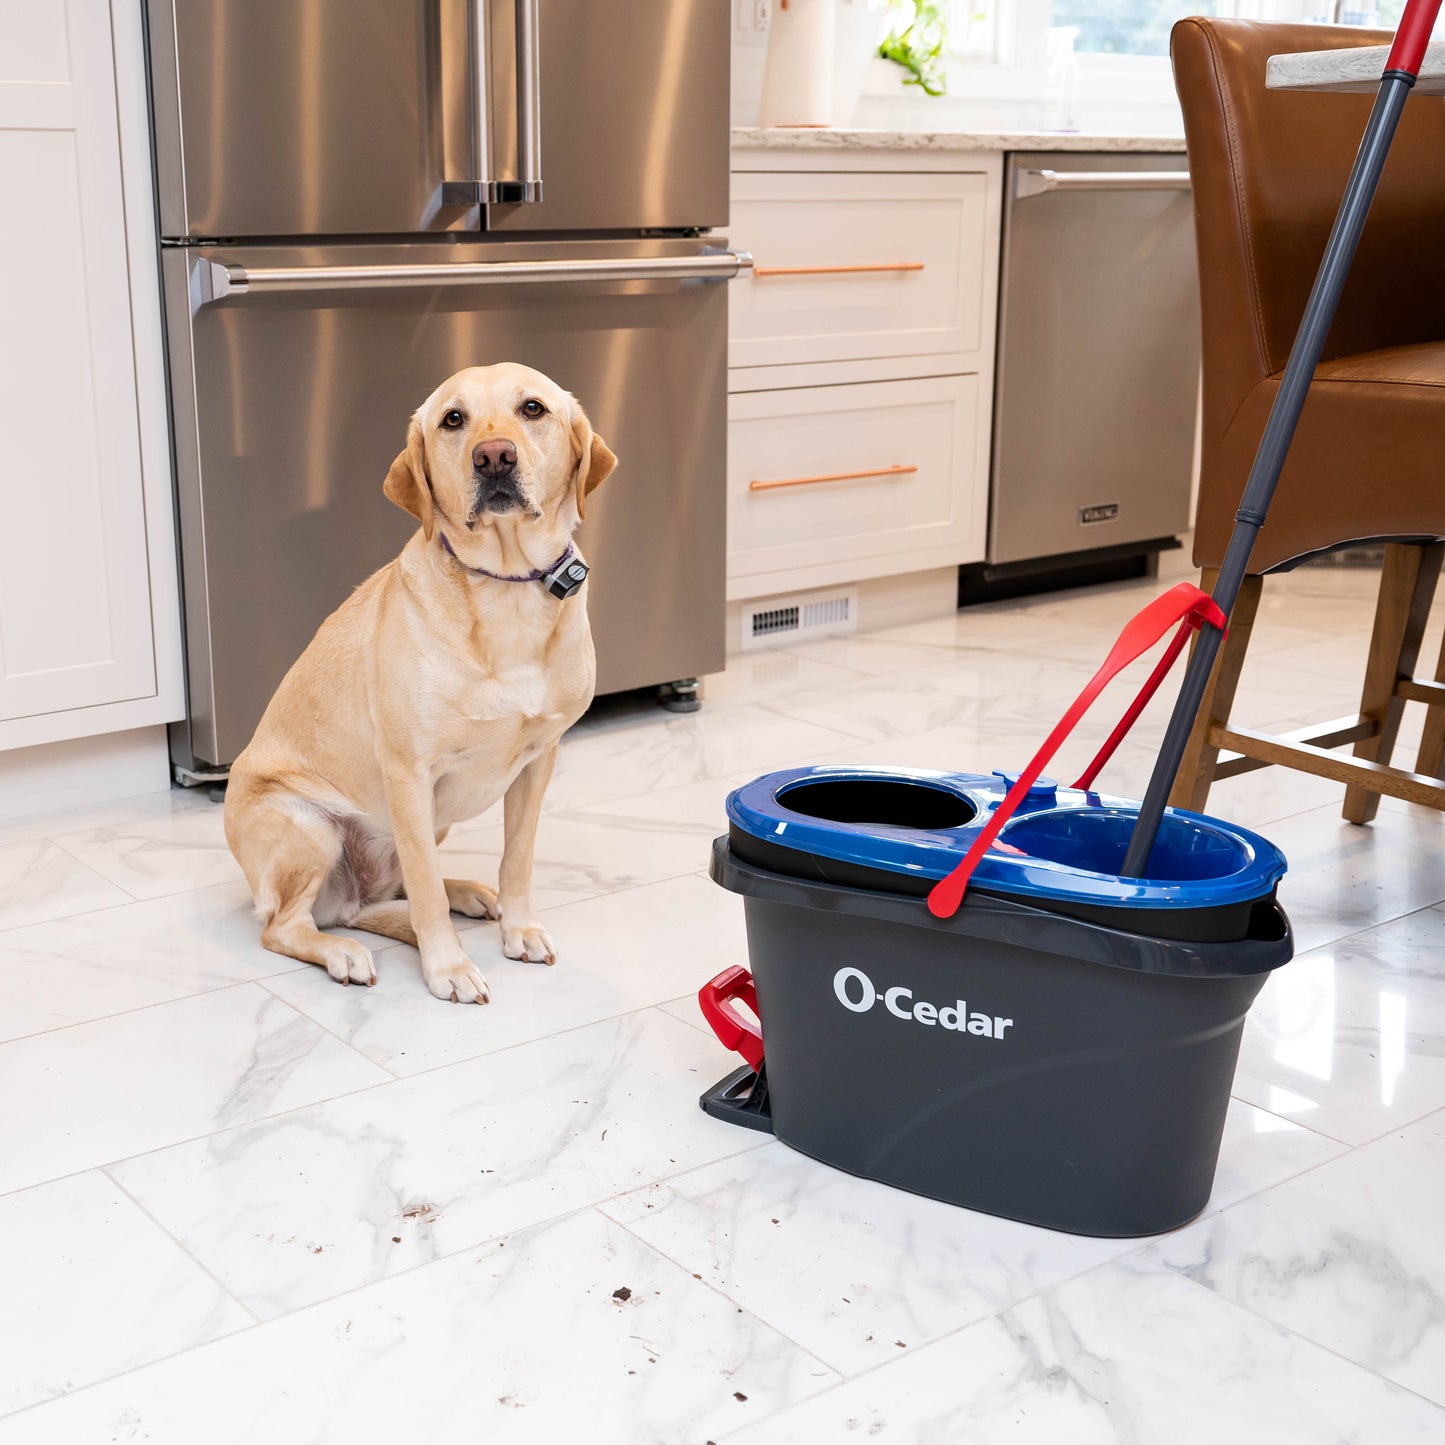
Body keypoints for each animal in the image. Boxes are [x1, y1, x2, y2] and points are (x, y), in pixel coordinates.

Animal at [223, 367, 615, 1005]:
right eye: (452, 419)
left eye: (532, 409)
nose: (494, 455)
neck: (505, 590)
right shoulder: (409, 773)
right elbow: (424, 887)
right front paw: (448, 967)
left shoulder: (539, 762)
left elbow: (516, 859)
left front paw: (519, 928)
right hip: (310, 830)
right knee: (289, 925)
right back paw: (345, 952)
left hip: (433, 821)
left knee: (383, 896)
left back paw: (466, 895)